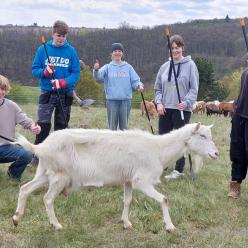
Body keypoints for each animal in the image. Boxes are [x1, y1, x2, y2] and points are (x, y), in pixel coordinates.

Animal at [12, 123, 218, 232]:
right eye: (202, 135)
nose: (216, 154)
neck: (159, 149)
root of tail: (40, 147)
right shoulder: (141, 181)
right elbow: (164, 199)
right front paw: (170, 226)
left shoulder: (128, 180)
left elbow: (127, 200)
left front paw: (126, 223)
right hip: (59, 176)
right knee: (47, 199)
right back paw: (56, 224)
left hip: (45, 172)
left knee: (25, 189)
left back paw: (16, 217)